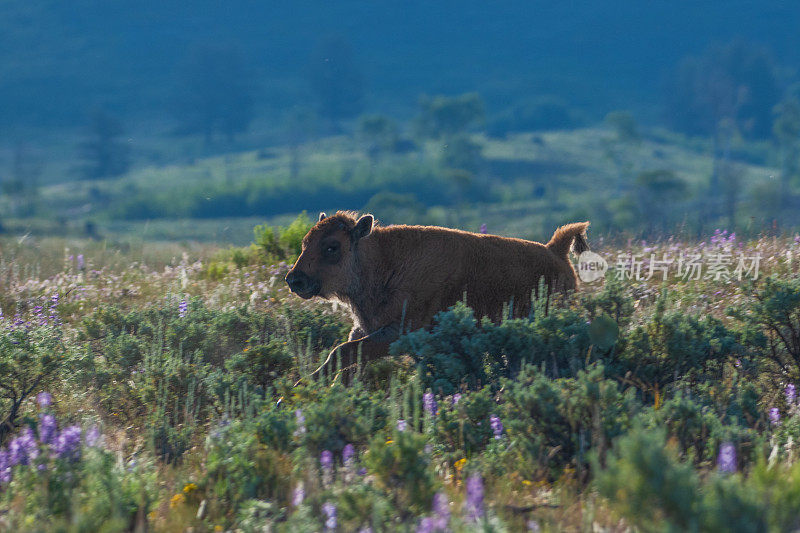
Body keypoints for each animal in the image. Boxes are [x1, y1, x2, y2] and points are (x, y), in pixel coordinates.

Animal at [286, 210, 588, 380]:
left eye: (332, 247)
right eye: (305, 243)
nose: (294, 279)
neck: (383, 262)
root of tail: (555, 251)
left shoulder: (398, 333)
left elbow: (342, 351)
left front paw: (301, 385)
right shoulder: (365, 330)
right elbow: (343, 356)